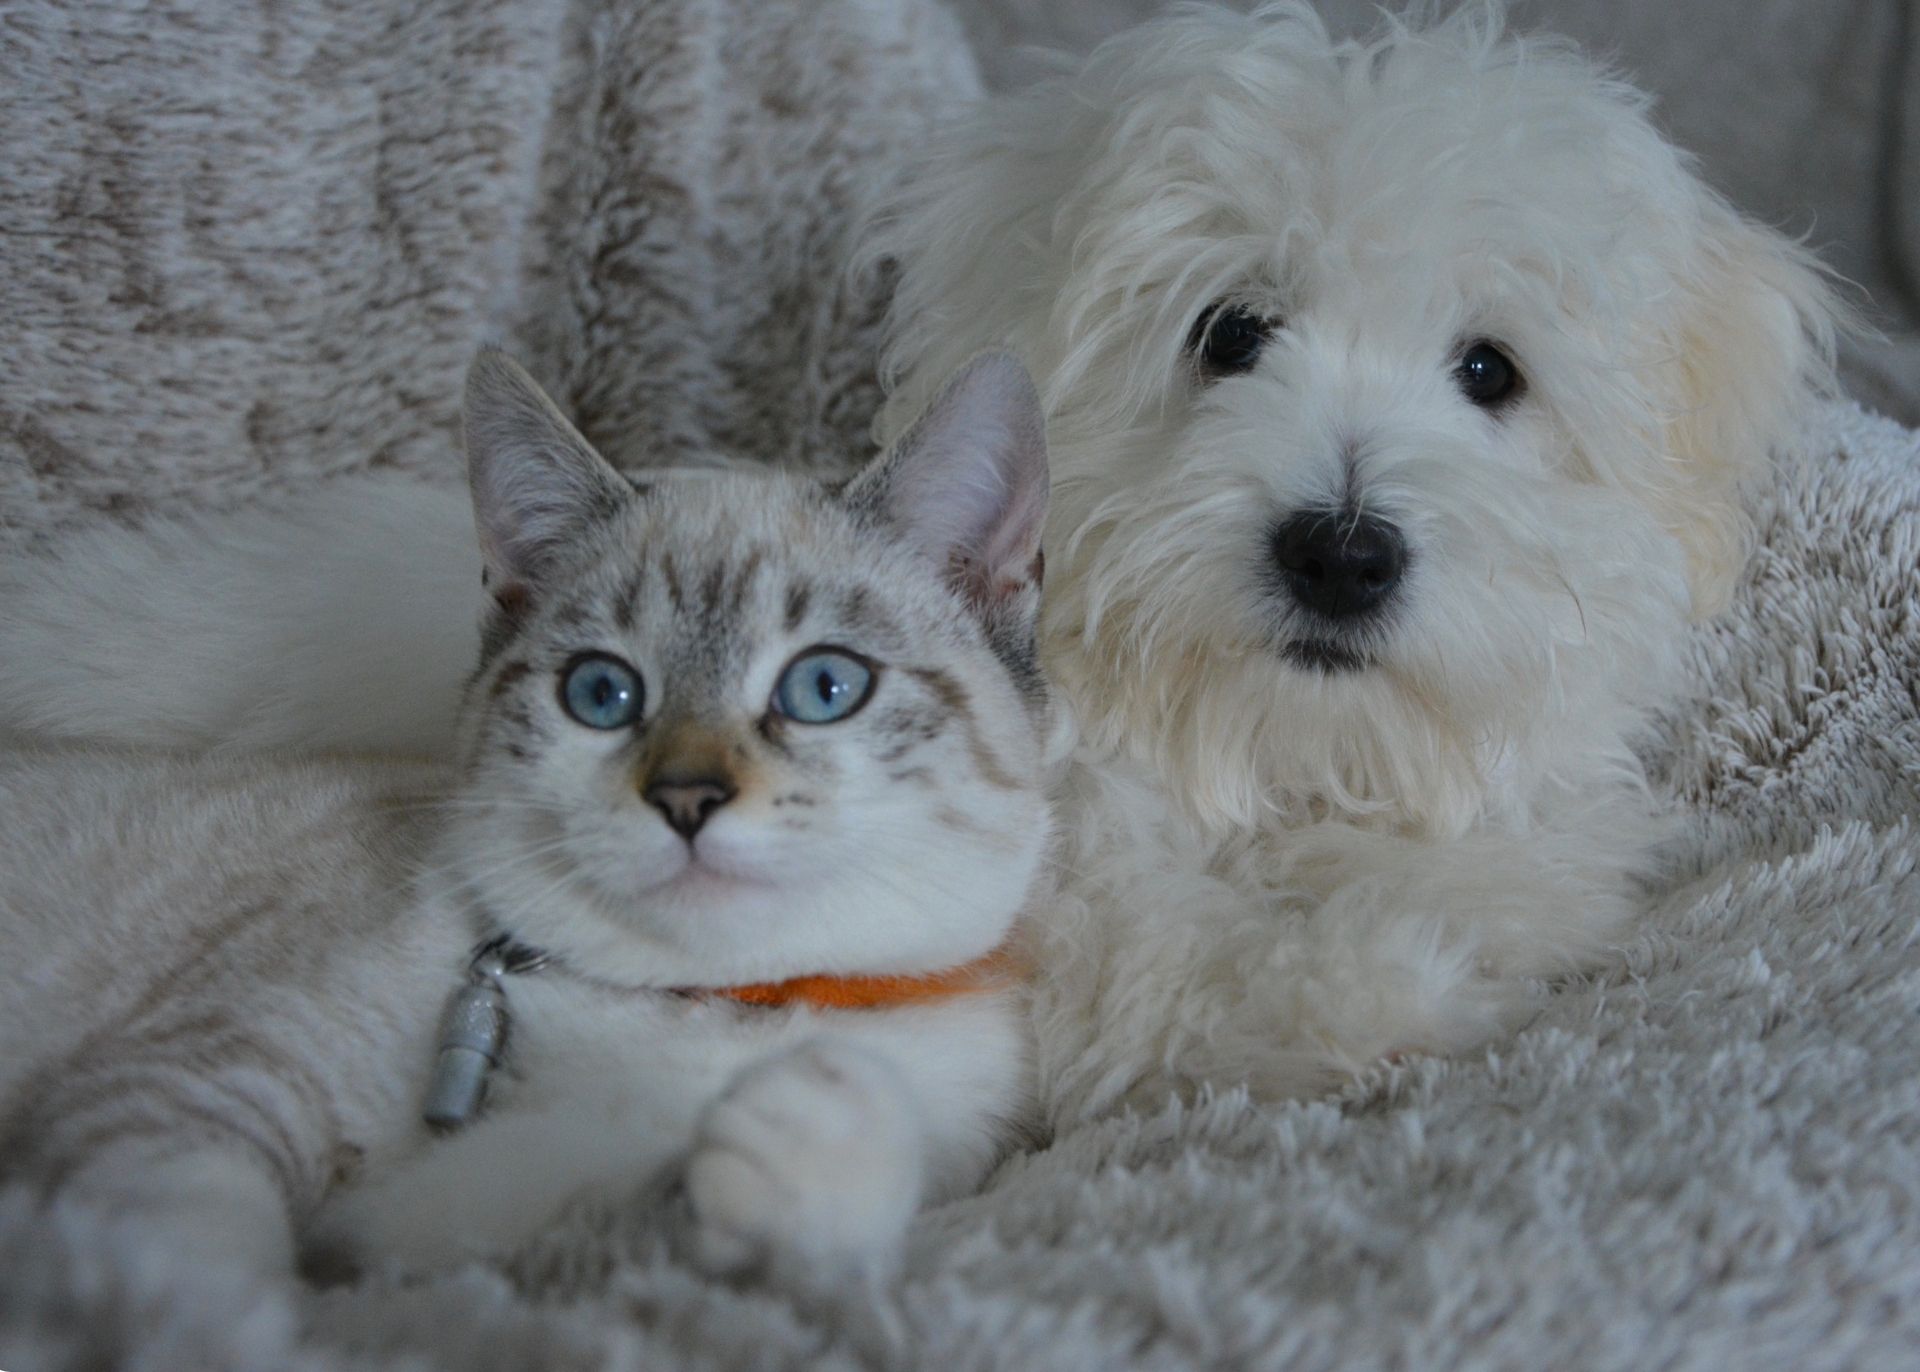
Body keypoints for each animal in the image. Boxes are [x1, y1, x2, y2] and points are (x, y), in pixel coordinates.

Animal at [0, 349, 1052, 1281]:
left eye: (825, 687)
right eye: (601, 694)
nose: (687, 798)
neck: (701, 1012)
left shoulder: (471, 1244)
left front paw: (807, 1126)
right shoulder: (193, 1104)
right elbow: (195, 1273)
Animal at [864, 5, 1835, 1120]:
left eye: (1489, 371)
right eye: (1232, 333)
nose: (1341, 556)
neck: (1292, 762)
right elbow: (1172, 974)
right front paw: (1383, 986)